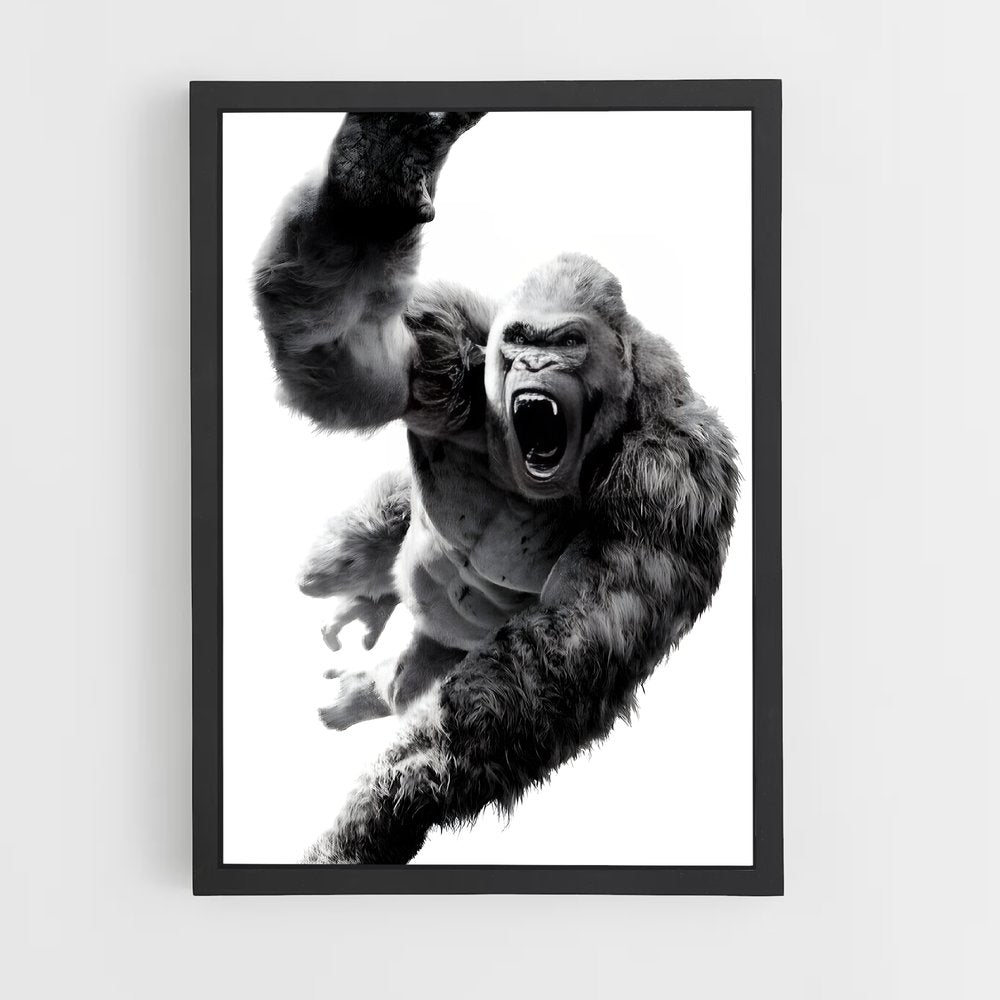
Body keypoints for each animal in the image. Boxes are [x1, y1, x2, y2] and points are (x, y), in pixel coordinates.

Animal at [252, 112, 739, 864]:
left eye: (566, 342)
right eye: (520, 339)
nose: (534, 364)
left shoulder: (671, 483)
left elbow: (545, 673)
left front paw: (383, 812)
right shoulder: (444, 349)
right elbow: (335, 353)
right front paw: (374, 178)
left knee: (422, 675)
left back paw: (370, 680)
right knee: (339, 561)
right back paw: (367, 590)